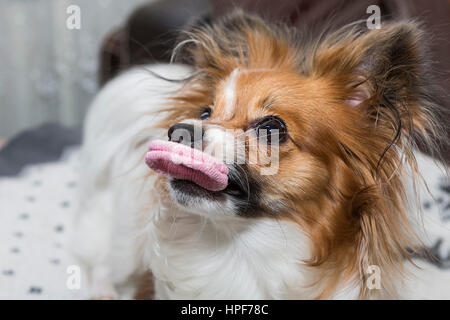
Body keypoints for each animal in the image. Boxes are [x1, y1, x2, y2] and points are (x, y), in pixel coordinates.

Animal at [72, 10, 448, 300]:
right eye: (205, 112)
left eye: (271, 127)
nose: (179, 129)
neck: (240, 250)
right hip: (127, 236)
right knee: (103, 260)